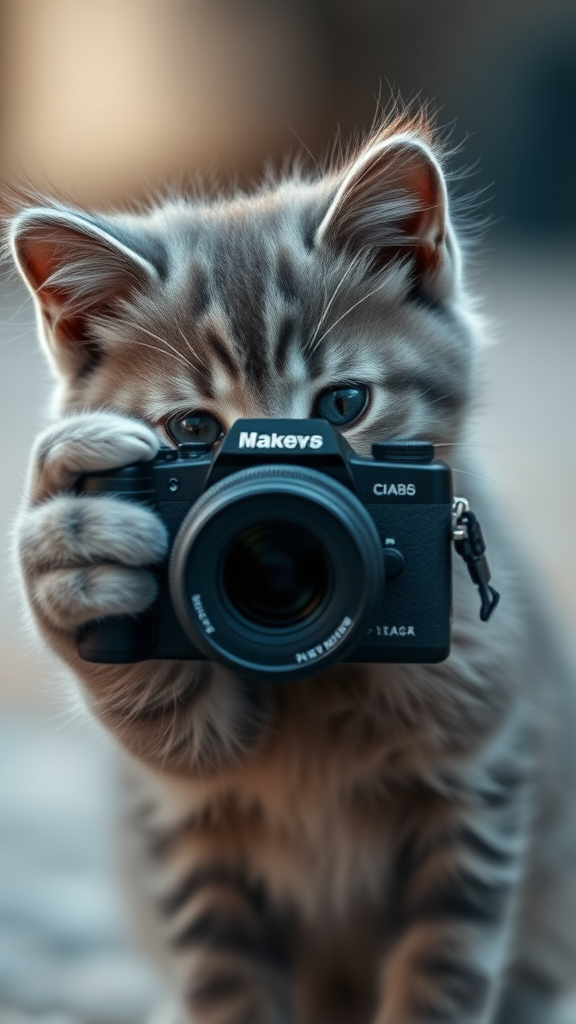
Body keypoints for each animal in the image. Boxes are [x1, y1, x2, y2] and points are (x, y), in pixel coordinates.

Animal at [4, 114, 573, 1024]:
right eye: (192, 432)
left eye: (344, 404)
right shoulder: (186, 806)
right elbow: (228, 979)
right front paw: (74, 548)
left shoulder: (478, 771)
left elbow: (441, 973)